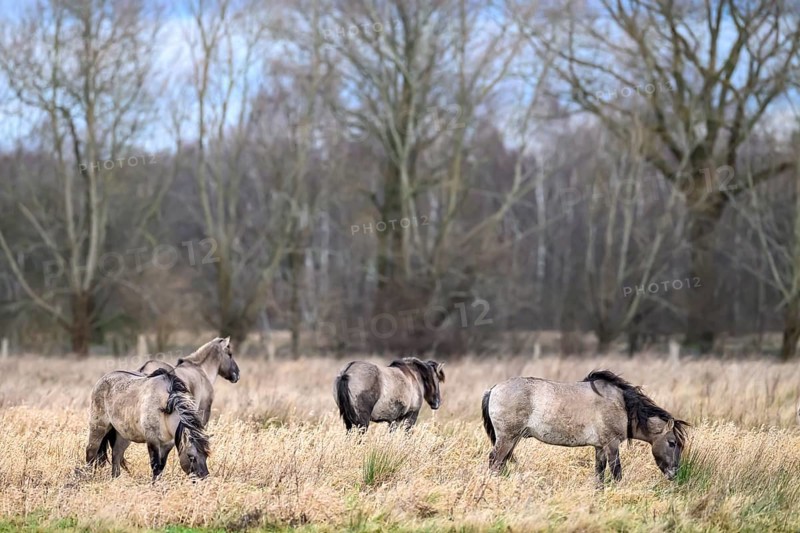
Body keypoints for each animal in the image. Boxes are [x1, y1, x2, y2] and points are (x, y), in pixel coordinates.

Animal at [481, 370, 688, 485]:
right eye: (672, 443)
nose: (674, 473)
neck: (622, 405)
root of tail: (493, 388)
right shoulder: (612, 445)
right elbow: (617, 473)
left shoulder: (600, 447)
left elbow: (599, 474)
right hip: (507, 438)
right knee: (494, 462)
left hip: (513, 440)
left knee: (500, 464)